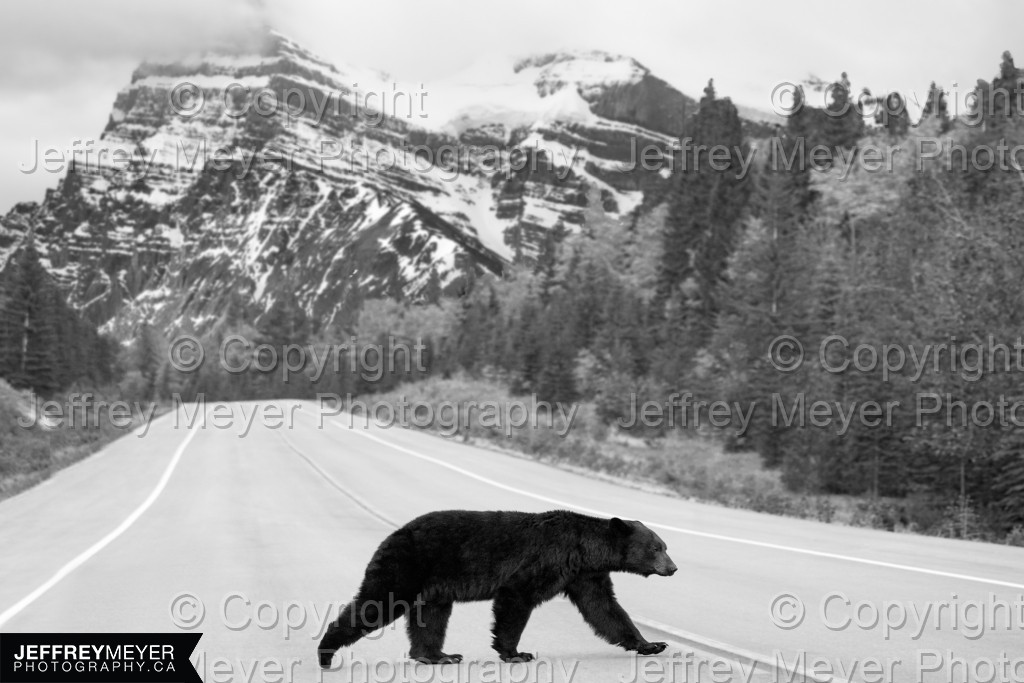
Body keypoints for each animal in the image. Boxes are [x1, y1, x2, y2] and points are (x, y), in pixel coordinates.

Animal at [317, 509, 677, 667]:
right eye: (656, 547)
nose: (673, 568)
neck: (582, 548)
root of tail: (391, 536)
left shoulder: (584, 575)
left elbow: (604, 609)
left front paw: (651, 644)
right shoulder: (545, 560)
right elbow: (516, 598)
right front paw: (516, 652)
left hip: (433, 587)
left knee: (430, 618)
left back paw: (438, 655)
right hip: (406, 567)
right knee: (376, 604)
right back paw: (326, 652)